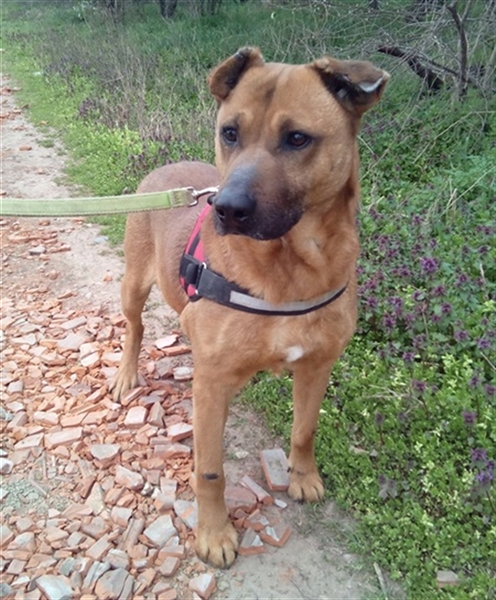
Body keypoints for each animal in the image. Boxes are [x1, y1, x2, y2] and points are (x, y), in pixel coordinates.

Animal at [111, 47, 389, 568]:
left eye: (297, 138)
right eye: (230, 132)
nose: (227, 208)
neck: (291, 270)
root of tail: (165, 167)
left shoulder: (317, 366)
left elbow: (304, 431)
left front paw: (303, 477)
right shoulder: (211, 387)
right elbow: (211, 471)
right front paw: (214, 533)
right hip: (134, 284)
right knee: (134, 328)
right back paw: (125, 374)